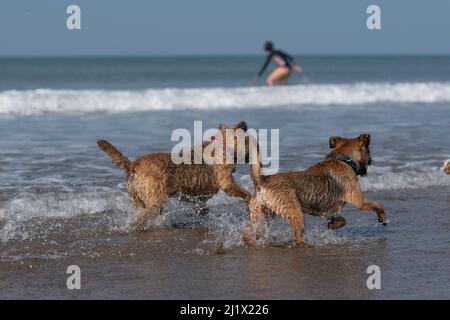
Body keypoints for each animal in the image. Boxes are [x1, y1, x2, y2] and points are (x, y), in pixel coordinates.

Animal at [98, 121, 251, 231]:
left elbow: (201, 206)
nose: (244, 123)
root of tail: (133, 165)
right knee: (143, 217)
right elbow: (245, 193)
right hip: (155, 201)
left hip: (136, 198)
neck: (223, 144)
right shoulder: (227, 183)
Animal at [244, 132, 388, 245]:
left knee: (249, 234)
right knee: (296, 236)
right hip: (295, 214)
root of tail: (263, 180)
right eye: (368, 152)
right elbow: (377, 204)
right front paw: (383, 218)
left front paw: (334, 225)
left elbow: (342, 220)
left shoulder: (329, 210)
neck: (344, 159)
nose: (371, 161)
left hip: (262, 216)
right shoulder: (359, 201)